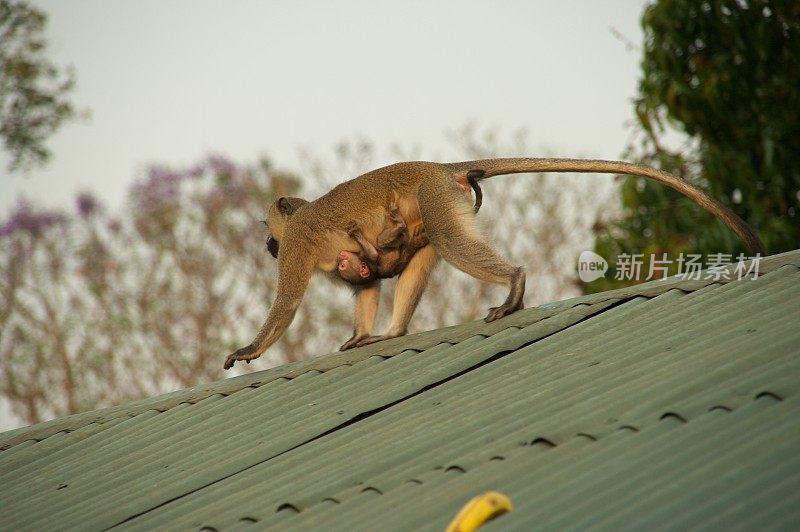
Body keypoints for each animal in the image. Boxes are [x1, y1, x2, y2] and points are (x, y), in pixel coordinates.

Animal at [223, 157, 764, 370]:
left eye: (269, 232)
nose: (267, 246)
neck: (301, 218)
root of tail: (441, 169)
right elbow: (366, 285)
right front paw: (361, 335)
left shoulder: (298, 245)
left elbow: (288, 302)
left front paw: (249, 350)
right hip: (438, 204)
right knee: (425, 256)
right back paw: (394, 332)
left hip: (434, 199)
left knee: (448, 242)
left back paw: (515, 286)